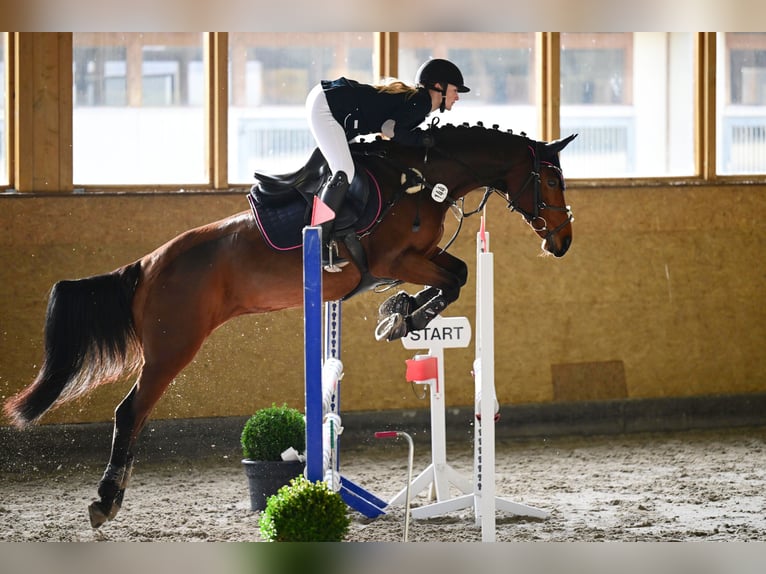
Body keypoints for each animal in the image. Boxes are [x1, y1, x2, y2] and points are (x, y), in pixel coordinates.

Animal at [0, 124, 576, 528]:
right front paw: (405, 315)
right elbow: (455, 277)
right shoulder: (396, 258)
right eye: (550, 178)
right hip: (172, 348)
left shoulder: (419, 257)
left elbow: (455, 275)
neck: (422, 179)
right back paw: (105, 501)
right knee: (130, 413)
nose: (563, 241)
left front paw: (400, 313)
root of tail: (146, 265)